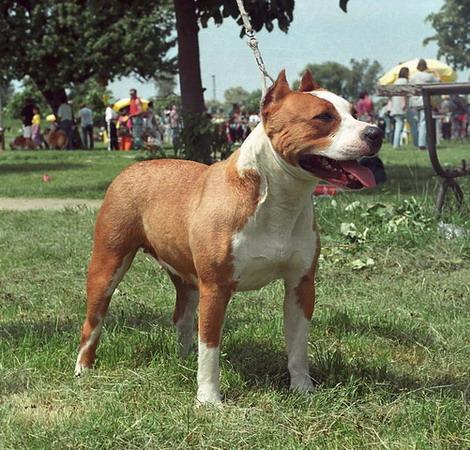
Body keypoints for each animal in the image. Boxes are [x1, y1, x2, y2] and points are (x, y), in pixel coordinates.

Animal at [75, 70, 383, 404]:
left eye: (354, 112)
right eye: (323, 117)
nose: (375, 132)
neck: (279, 197)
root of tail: (131, 168)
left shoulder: (301, 285)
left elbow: (298, 344)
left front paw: (303, 388)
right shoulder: (216, 288)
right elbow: (210, 346)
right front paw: (209, 399)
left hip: (185, 276)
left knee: (182, 317)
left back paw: (183, 361)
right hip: (107, 265)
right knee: (93, 321)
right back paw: (83, 369)